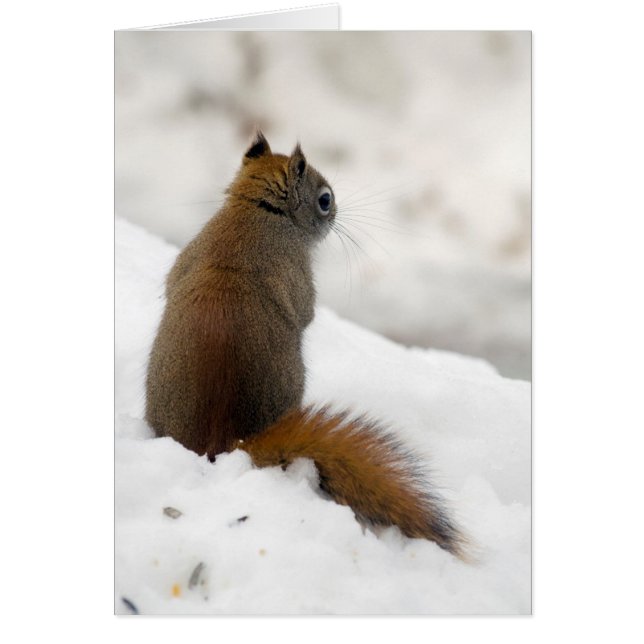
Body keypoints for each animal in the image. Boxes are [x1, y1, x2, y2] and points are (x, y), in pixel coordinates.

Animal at [145, 132, 465, 558]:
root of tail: (225, 442)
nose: (336, 211)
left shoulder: (188, 254)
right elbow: (306, 312)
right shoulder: (299, 274)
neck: (255, 212)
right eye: (325, 198)